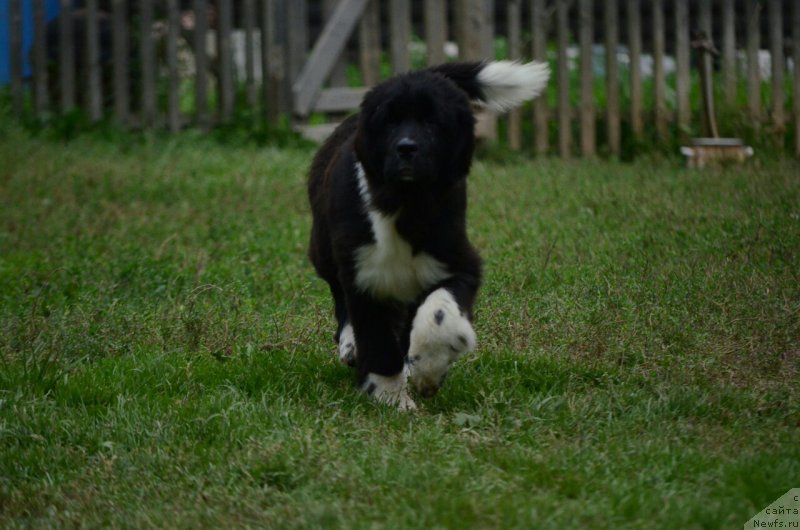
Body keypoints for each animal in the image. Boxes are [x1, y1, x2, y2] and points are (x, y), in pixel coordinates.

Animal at [308, 62, 552, 408]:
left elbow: (437, 313)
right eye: (390, 121)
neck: (406, 203)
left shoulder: (456, 262)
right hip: (324, 249)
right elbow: (377, 340)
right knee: (339, 295)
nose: (406, 148)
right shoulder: (364, 271)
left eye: (432, 122)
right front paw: (392, 398)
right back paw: (350, 344)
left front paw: (428, 369)